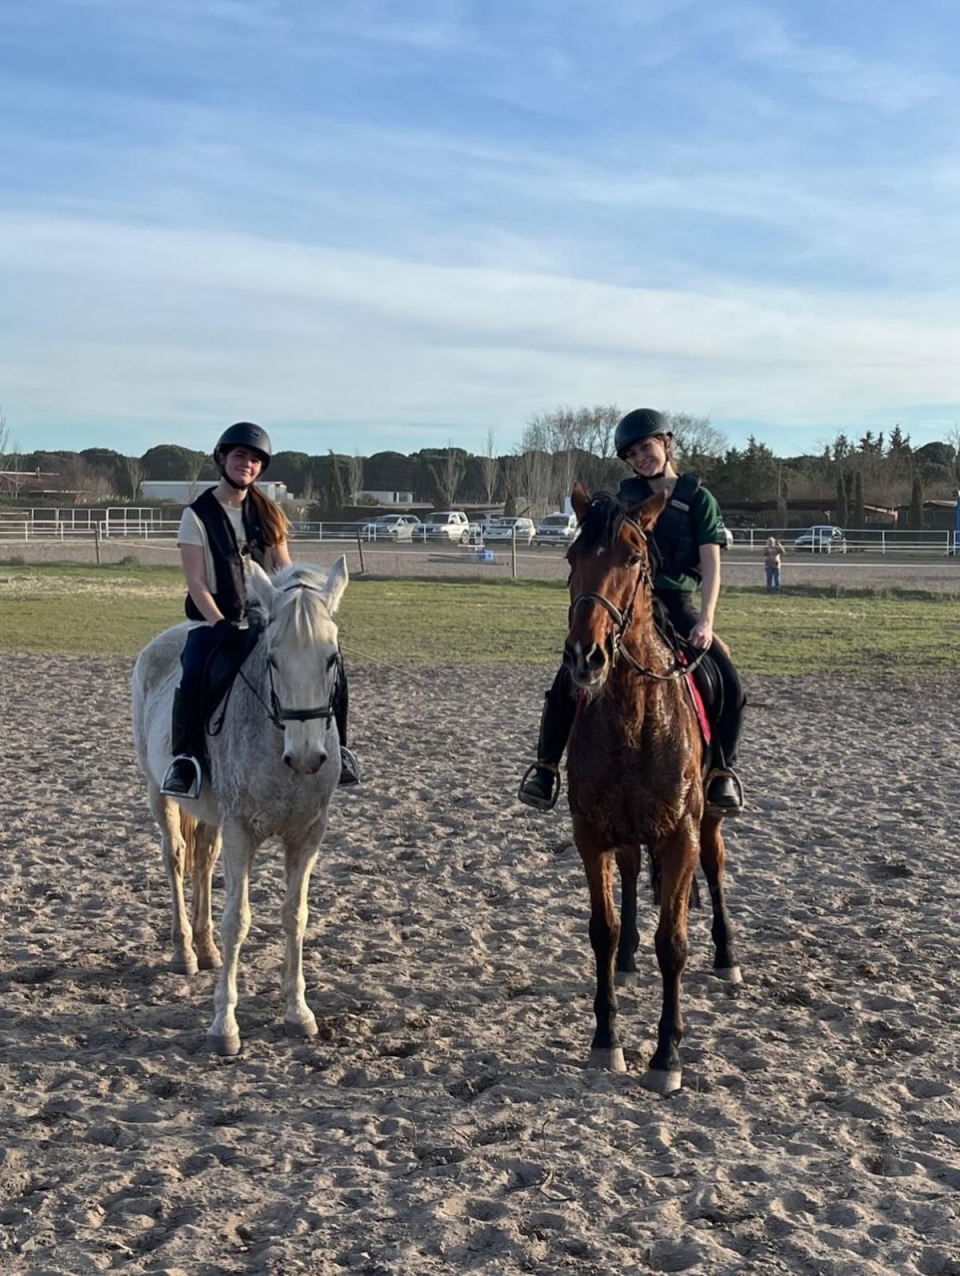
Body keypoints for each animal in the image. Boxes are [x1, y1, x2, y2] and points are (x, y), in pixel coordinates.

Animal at [131, 558, 348, 1056]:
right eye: (273, 659)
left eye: (331, 658)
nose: (306, 757)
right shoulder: (240, 831)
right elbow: (239, 920)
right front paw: (224, 1025)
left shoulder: (308, 835)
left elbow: (295, 916)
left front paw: (298, 1013)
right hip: (159, 793)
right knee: (176, 859)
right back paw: (185, 952)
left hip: (210, 817)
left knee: (203, 863)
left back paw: (206, 948)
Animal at [563, 483, 740, 1095]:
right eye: (572, 556)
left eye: (634, 558)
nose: (586, 657)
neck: (634, 718)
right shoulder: (591, 834)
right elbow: (603, 929)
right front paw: (606, 1040)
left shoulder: (680, 834)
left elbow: (674, 943)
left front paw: (667, 1056)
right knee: (634, 874)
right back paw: (629, 957)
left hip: (707, 821)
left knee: (714, 866)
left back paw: (727, 955)